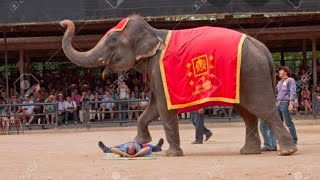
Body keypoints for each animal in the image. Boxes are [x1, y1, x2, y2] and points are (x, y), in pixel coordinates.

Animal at [59, 14, 298, 156]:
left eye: (111, 41)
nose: (63, 23)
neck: (153, 31)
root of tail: (263, 48)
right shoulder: (155, 72)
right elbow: (152, 108)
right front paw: (141, 140)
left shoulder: (159, 71)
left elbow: (164, 108)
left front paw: (170, 154)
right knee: (247, 113)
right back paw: (248, 151)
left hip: (252, 73)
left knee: (263, 108)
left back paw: (287, 151)